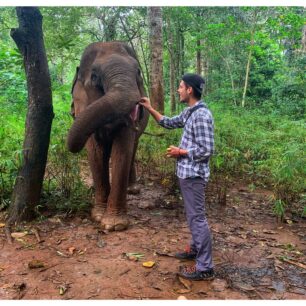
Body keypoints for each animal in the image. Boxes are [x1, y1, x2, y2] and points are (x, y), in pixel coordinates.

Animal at [67, 41, 148, 232]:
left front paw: (114, 224)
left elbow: (122, 150)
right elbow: (95, 152)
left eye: (138, 72)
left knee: (133, 148)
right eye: (94, 76)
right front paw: (97, 215)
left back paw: (132, 189)